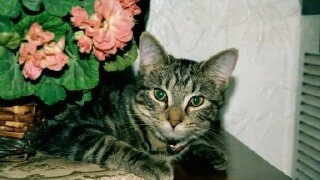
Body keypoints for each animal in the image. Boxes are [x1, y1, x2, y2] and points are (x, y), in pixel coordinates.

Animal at [39, 31, 238, 179]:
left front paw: (208, 149)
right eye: (159, 94)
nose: (174, 122)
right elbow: (107, 143)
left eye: (196, 101)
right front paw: (151, 163)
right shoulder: (64, 128)